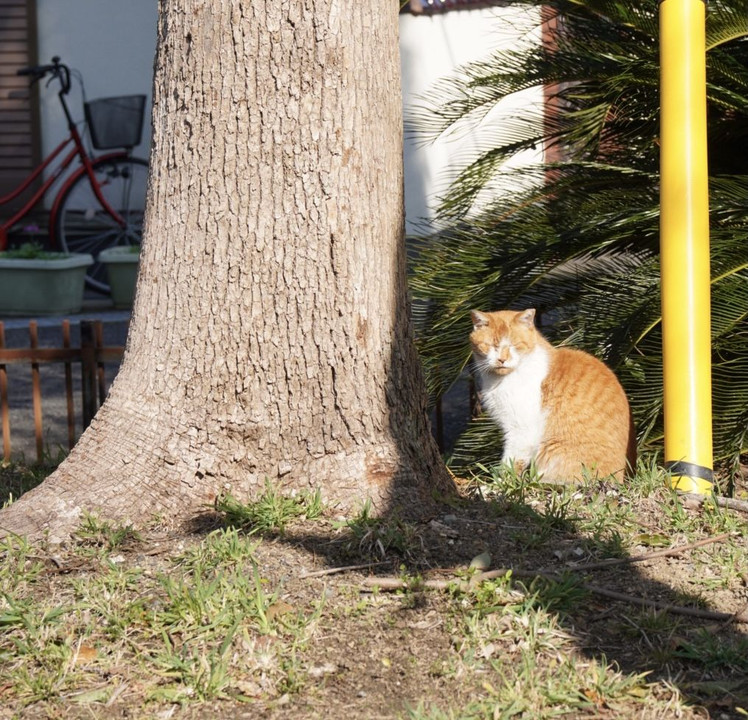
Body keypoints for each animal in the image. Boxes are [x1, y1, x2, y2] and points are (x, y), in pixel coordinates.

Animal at [470, 306, 636, 480]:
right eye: (490, 345)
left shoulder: (521, 430)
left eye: (515, 345)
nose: (502, 360)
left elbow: (512, 463)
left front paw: (500, 482)